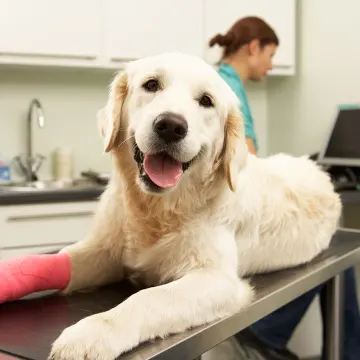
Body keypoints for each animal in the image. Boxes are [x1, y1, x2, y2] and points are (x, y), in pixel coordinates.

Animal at [49, 52, 342, 360]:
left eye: (206, 101)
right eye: (151, 84)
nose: (171, 126)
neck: (158, 209)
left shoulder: (218, 279)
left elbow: (148, 297)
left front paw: (90, 333)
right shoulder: (104, 250)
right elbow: (66, 259)